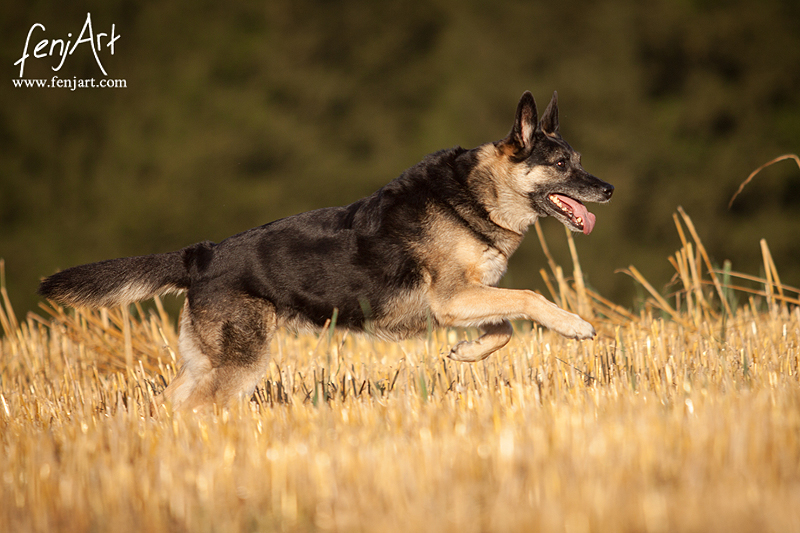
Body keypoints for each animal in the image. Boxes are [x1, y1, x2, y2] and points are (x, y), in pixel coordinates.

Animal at [39, 91, 612, 410]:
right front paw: (575, 326)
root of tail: (200, 254)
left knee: (175, 402)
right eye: (561, 164)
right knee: (203, 405)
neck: (476, 195)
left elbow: (504, 328)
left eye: (580, 159)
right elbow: (530, 300)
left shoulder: (463, 302)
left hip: (208, 360)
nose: (607, 190)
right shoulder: (454, 299)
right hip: (241, 363)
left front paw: (465, 353)